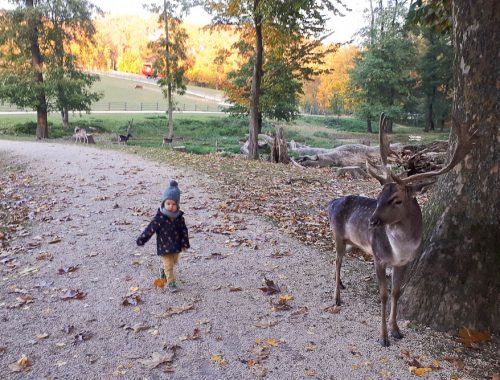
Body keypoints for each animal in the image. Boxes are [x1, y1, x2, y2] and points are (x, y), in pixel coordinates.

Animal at [326, 113, 474, 348]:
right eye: (379, 195)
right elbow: (383, 295)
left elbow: (396, 293)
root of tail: (331, 203)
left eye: (397, 200)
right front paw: (383, 337)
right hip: (338, 235)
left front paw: (396, 330)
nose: (372, 221)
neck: (399, 249)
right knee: (337, 261)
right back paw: (337, 298)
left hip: (352, 242)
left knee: (339, 260)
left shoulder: (404, 263)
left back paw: (341, 285)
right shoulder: (379, 257)